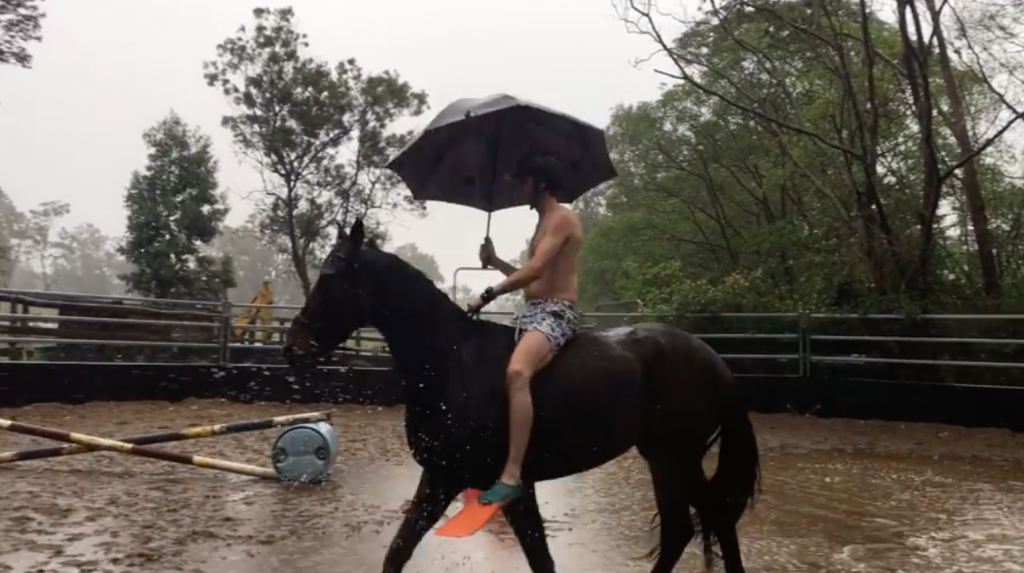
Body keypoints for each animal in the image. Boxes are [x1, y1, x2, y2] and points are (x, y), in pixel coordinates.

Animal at [284, 219, 762, 573]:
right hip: (669, 458)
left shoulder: (508, 487)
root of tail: (713, 358)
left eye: (332, 277)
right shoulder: (439, 478)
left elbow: (540, 560)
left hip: (673, 457)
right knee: (692, 525)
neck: (452, 361)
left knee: (701, 522)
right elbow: (398, 552)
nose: (293, 346)